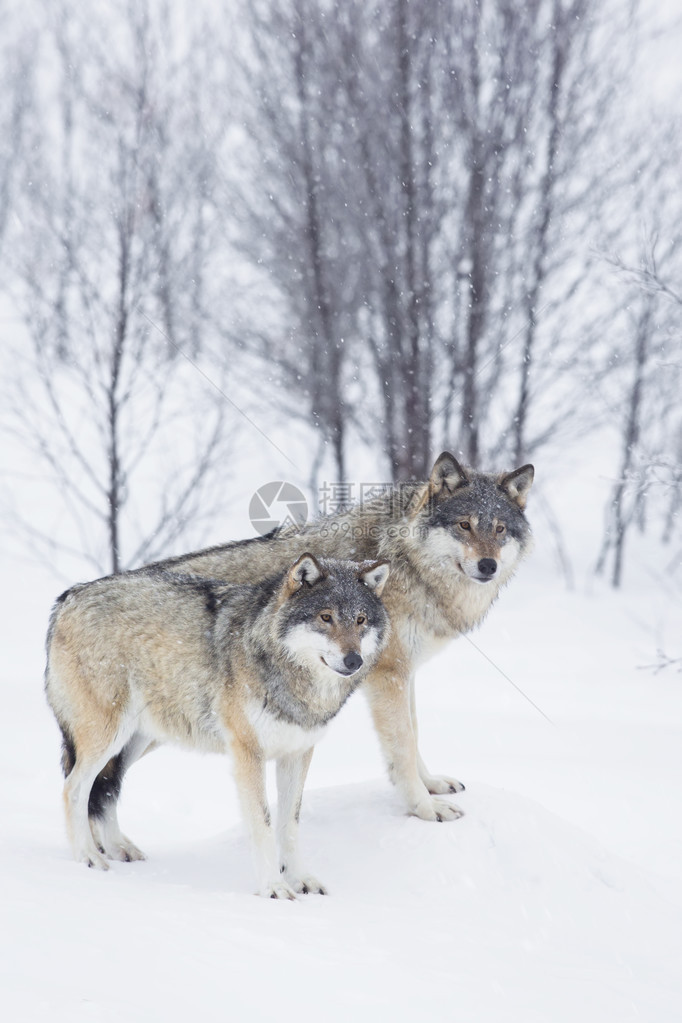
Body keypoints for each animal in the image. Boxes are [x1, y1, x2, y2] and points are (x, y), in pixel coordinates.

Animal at [45, 556, 388, 900]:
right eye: (325, 617)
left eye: (360, 620)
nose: (354, 660)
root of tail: (68, 597)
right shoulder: (248, 753)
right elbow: (263, 824)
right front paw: (273, 888)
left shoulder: (298, 753)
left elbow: (289, 824)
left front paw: (300, 879)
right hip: (108, 735)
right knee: (74, 788)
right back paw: (87, 856)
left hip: (137, 741)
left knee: (106, 787)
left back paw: (117, 847)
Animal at [147, 452, 535, 818]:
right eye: (464, 525)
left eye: (500, 529)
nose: (488, 565)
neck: (406, 564)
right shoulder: (388, 675)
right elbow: (403, 744)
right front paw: (425, 808)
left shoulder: (404, 671)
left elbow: (414, 732)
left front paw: (432, 785)